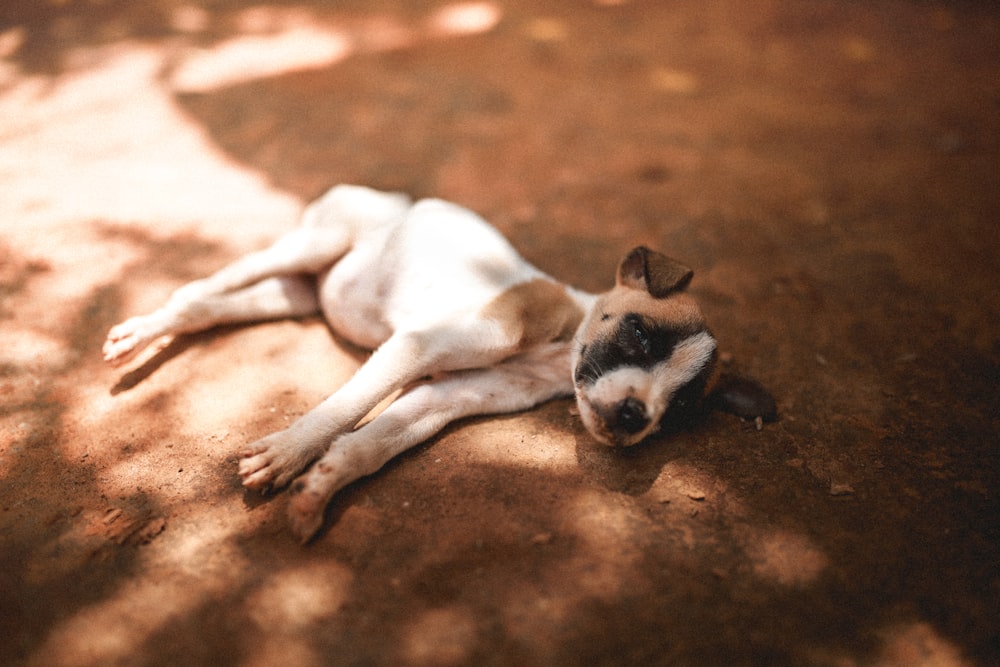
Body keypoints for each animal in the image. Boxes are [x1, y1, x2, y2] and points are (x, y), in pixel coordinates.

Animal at [103, 184, 772, 544]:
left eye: (680, 409)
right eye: (638, 333)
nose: (636, 416)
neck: (553, 350)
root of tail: (394, 197)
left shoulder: (444, 399)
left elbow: (369, 443)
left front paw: (319, 486)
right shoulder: (417, 347)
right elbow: (342, 409)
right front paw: (291, 452)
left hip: (292, 294)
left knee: (210, 308)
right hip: (309, 244)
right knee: (197, 291)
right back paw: (140, 332)